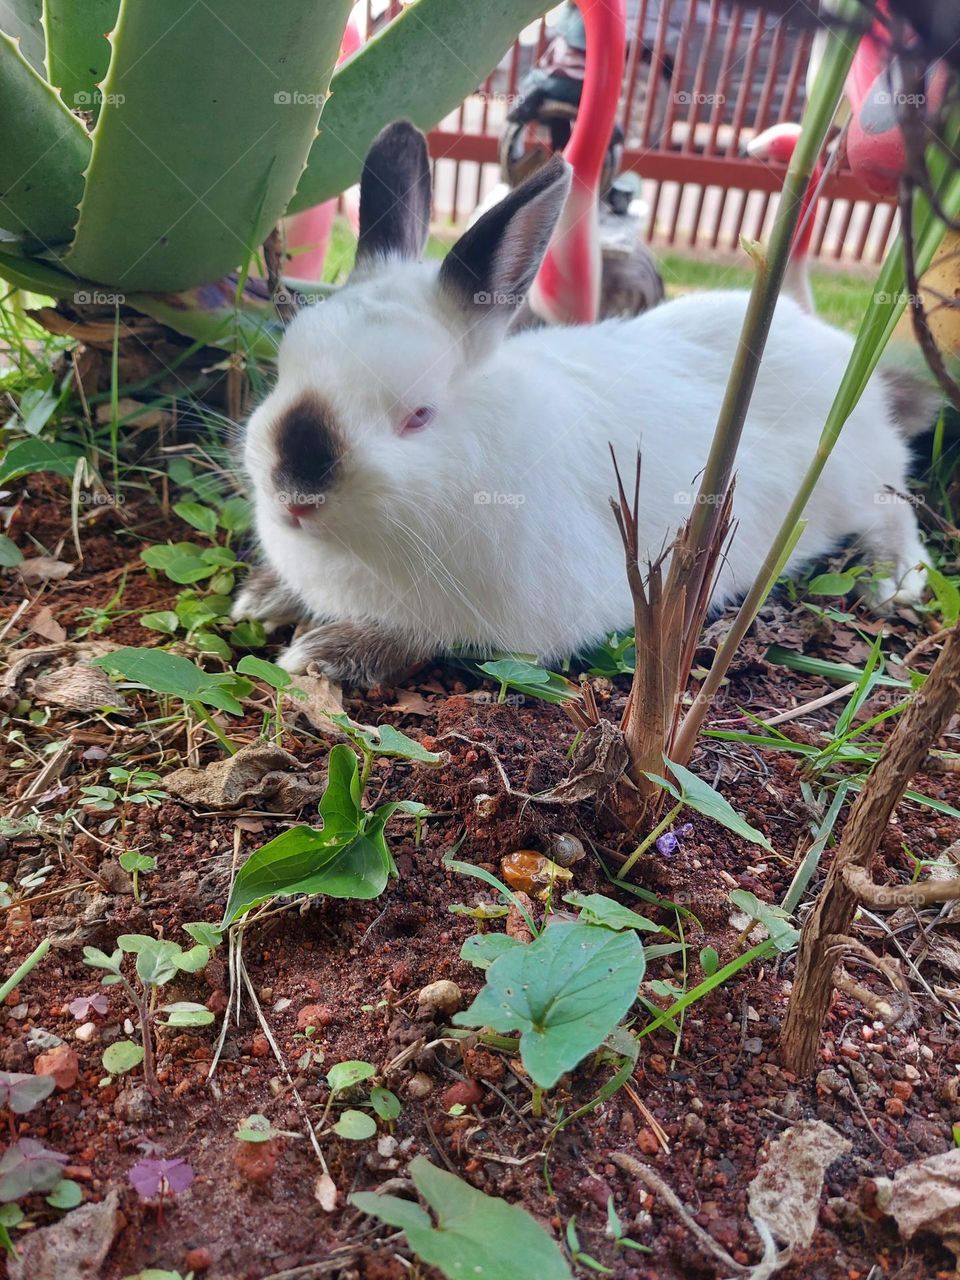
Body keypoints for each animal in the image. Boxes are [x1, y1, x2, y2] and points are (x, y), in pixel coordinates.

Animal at [233, 120, 930, 686]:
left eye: (418, 416)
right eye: (284, 369)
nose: (294, 495)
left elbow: (422, 636)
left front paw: (327, 650)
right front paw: (262, 597)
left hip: (855, 482)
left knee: (896, 512)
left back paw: (893, 581)